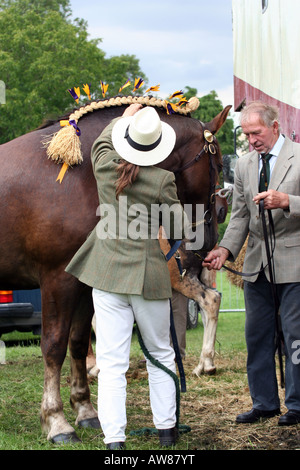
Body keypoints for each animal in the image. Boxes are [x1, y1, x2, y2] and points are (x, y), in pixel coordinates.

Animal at [0, 93, 230, 442]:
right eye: (217, 165)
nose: (208, 240)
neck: (79, 175)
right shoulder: (57, 279)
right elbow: (54, 346)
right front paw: (56, 421)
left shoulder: (82, 282)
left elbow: (78, 343)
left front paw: (85, 410)